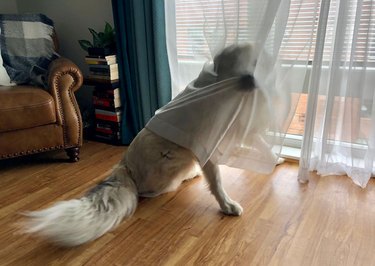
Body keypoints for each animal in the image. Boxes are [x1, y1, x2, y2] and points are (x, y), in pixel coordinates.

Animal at [22, 43, 282, 245]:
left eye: (258, 63)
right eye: (243, 63)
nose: (252, 80)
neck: (225, 85)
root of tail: (123, 167)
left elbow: (261, 144)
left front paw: (276, 159)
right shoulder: (208, 144)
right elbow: (217, 181)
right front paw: (227, 205)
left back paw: (192, 174)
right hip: (173, 160)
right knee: (148, 189)